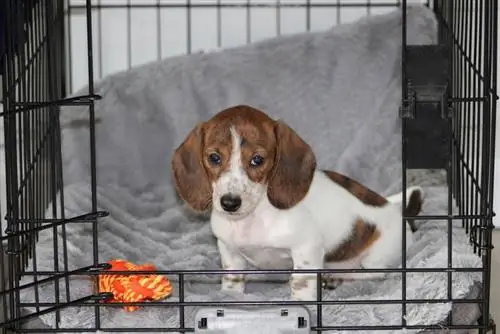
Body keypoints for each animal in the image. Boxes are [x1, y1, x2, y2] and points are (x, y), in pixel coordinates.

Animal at [171, 105, 422, 302]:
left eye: (257, 160)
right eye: (214, 158)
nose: (229, 203)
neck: (255, 215)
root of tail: (396, 211)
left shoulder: (306, 249)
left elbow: (301, 281)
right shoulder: (228, 250)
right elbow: (232, 277)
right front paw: (229, 295)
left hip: (376, 257)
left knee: (373, 274)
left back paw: (338, 276)